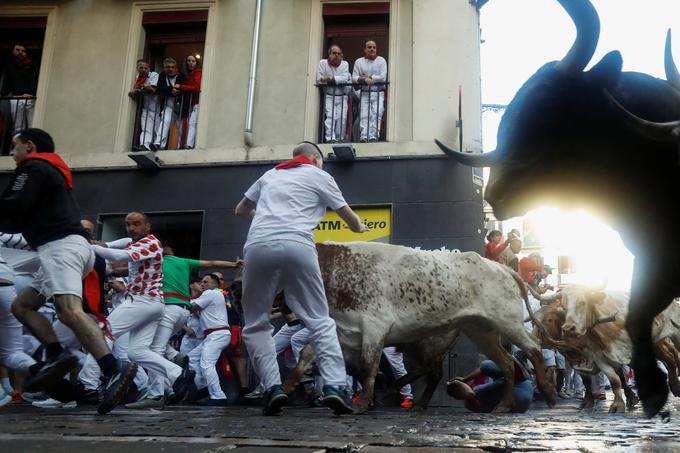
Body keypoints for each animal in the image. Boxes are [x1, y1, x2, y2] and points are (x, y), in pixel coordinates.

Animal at [284, 242, 556, 412]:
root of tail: (504, 268)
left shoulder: (374, 326)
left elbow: (368, 367)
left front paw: (362, 404)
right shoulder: (344, 330)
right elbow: (307, 355)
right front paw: (286, 388)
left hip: (506, 322)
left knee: (533, 348)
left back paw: (548, 391)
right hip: (482, 331)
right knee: (507, 363)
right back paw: (504, 404)